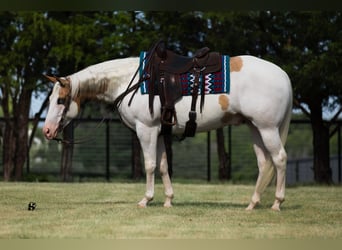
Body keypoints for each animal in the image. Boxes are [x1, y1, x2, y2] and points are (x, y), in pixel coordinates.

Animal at [42, 49, 292, 210]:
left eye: (60, 100)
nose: (47, 131)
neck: (128, 82)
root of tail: (284, 76)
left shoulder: (146, 130)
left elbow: (150, 165)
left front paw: (146, 199)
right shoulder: (160, 131)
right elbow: (163, 166)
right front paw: (168, 200)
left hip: (267, 128)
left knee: (279, 159)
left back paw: (277, 203)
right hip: (255, 128)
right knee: (264, 163)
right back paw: (252, 203)